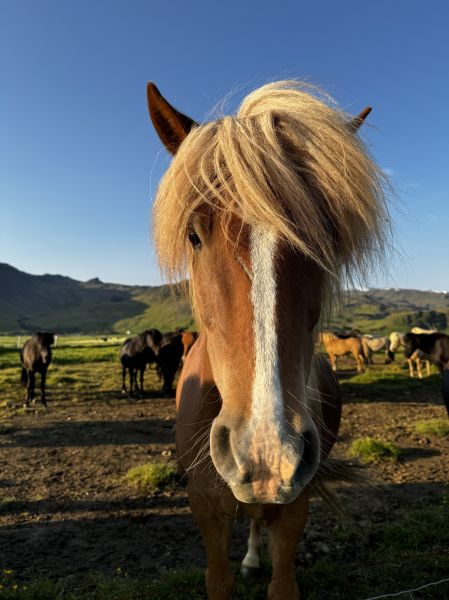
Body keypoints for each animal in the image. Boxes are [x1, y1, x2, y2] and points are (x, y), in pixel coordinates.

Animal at [146, 81, 384, 600]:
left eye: (325, 238)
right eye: (194, 235)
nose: (268, 452)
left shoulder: (294, 505)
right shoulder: (204, 506)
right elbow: (218, 578)